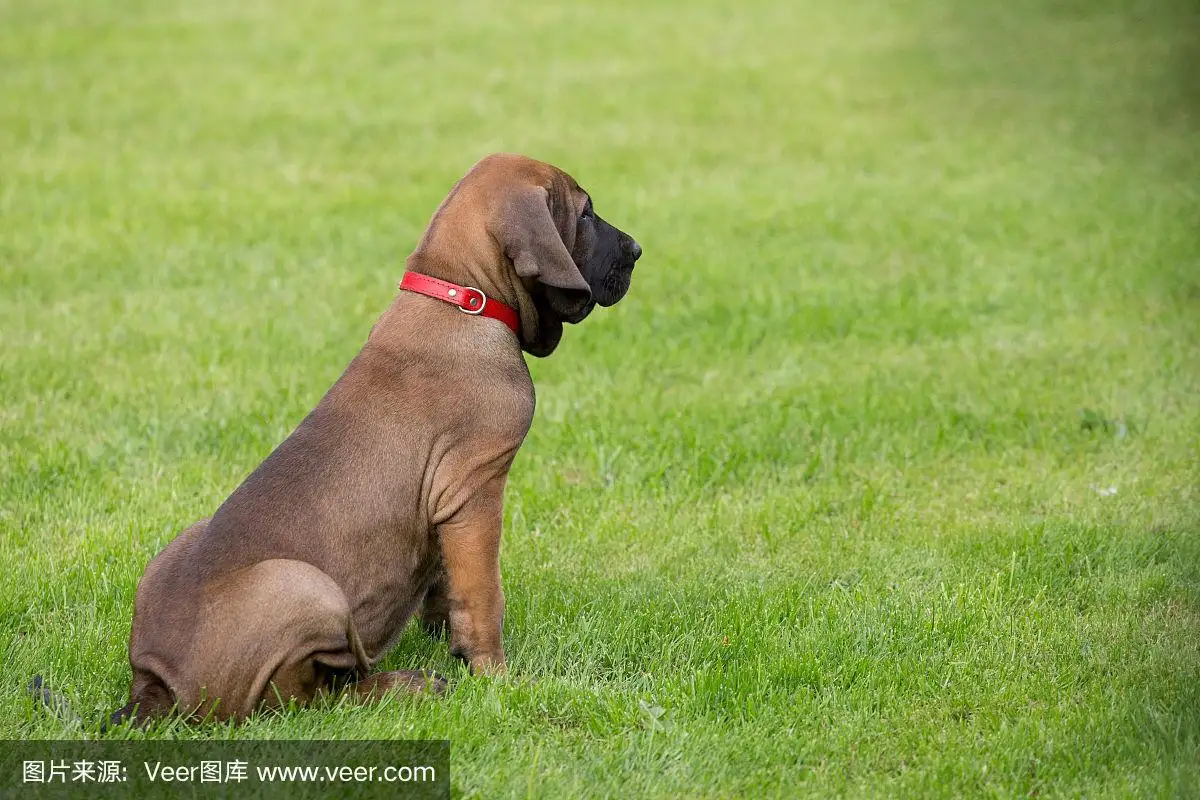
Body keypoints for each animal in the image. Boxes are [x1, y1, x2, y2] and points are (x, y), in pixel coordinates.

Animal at [81, 151, 643, 724]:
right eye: (586, 213)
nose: (638, 251)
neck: (462, 296)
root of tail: (154, 687)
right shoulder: (475, 490)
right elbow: (483, 596)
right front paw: (496, 677)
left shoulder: (446, 506)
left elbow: (445, 586)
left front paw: (447, 642)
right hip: (306, 589)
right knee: (309, 701)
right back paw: (408, 685)